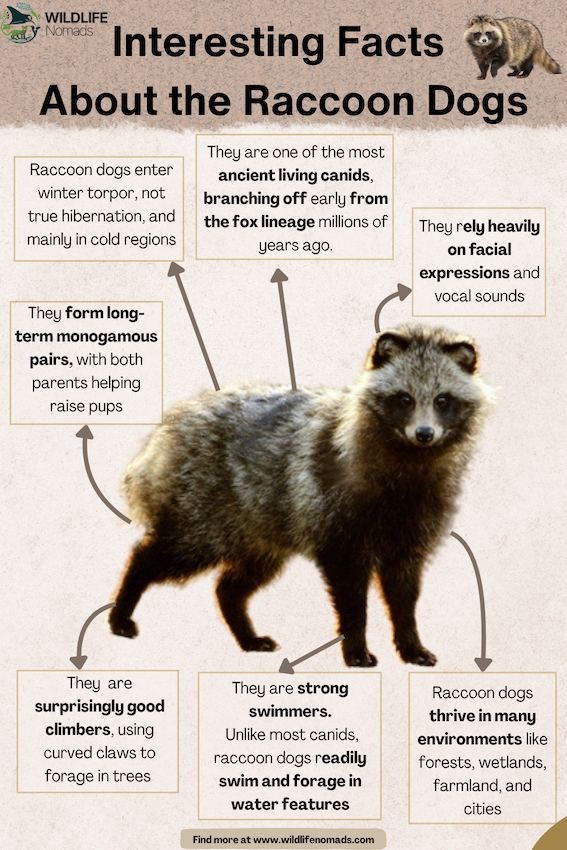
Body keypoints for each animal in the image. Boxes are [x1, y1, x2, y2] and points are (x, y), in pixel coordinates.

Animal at [109, 324, 492, 667]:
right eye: (404, 399)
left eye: (443, 400)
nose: (424, 433)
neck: (411, 461)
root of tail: (167, 431)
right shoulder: (339, 521)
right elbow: (352, 598)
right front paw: (355, 646)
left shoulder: (412, 528)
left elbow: (404, 595)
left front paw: (411, 644)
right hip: (205, 508)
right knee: (160, 553)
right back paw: (124, 604)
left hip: (261, 531)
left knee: (231, 585)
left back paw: (245, 632)